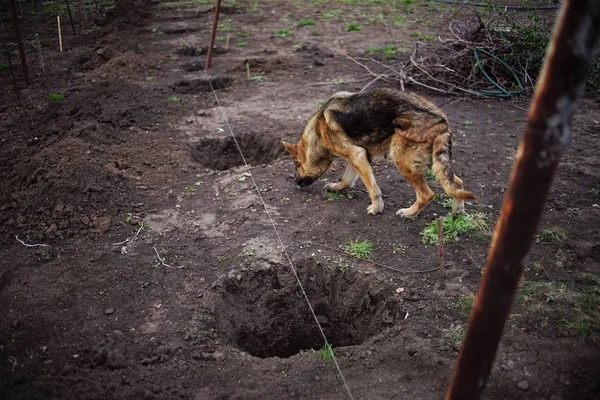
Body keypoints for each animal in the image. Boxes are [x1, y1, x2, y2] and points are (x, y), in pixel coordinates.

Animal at [284, 88, 476, 217]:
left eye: (296, 165)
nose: (296, 183)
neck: (318, 128)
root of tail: (440, 120)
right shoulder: (358, 156)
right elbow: (347, 179)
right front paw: (337, 187)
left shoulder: (357, 156)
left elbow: (373, 188)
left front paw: (376, 208)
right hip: (433, 162)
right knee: (457, 183)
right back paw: (457, 211)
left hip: (403, 161)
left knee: (426, 194)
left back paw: (409, 213)